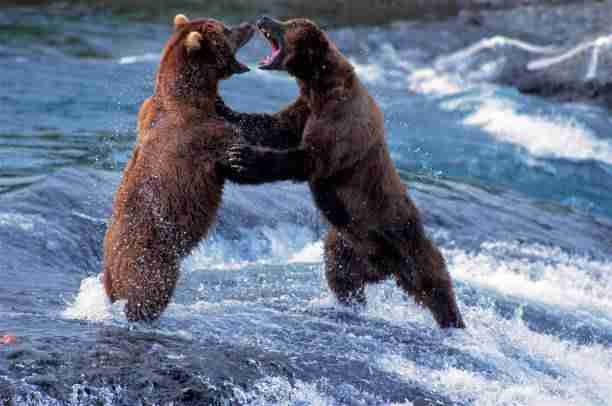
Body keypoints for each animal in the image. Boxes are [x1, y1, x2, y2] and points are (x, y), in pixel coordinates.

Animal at [227, 15, 466, 328]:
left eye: (288, 25)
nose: (264, 18)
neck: (318, 84)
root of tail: (384, 268)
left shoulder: (341, 120)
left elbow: (311, 158)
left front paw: (243, 159)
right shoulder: (305, 110)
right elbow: (273, 126)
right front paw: (226, 113)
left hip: (404, 240)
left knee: (434, 284)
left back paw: (454, 322)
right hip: (345, 244)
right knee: (341, 275)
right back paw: (350, 305)